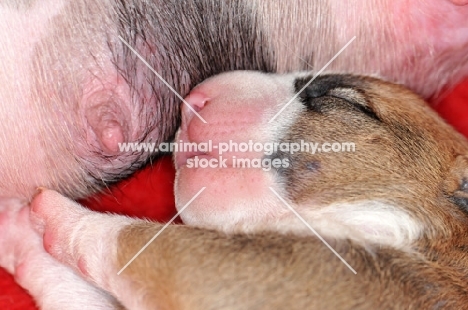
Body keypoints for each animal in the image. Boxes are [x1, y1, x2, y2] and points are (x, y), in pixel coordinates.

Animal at [2, 71, 468, 308]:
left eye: (348, 101)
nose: (194, 97)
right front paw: (24, 236)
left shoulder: (240, 270)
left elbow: (138, 238)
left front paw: (24, 221)